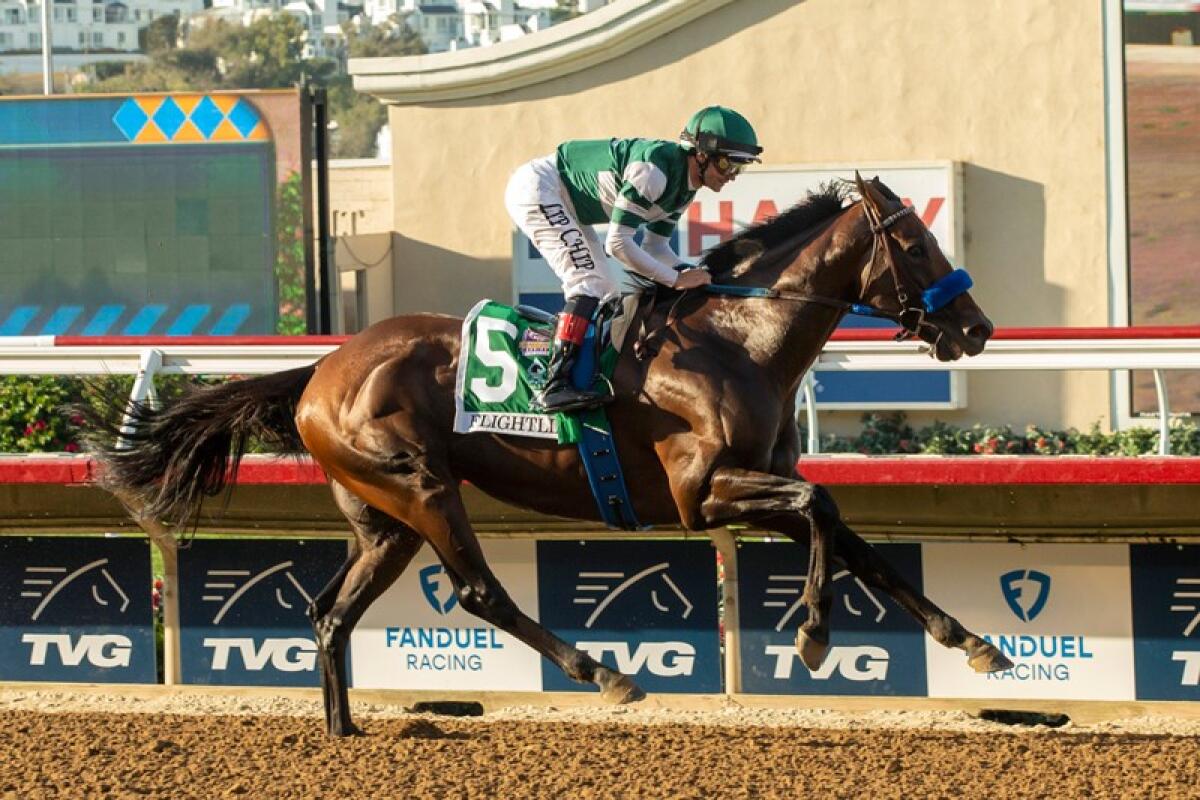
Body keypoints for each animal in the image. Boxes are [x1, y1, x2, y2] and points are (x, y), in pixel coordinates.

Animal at [87, 175, 1012, 738]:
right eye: (915, 245)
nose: (976, 328)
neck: (736, 339)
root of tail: (320, 370)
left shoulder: (761, 481)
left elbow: (849, 534)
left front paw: (972, 642)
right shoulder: (702, 494)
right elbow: (822, 511)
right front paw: (814, 636)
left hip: (382, 520)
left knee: (329, 612)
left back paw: (344, 728)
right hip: (421, 486)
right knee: (477, 591)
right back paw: (603, 672)